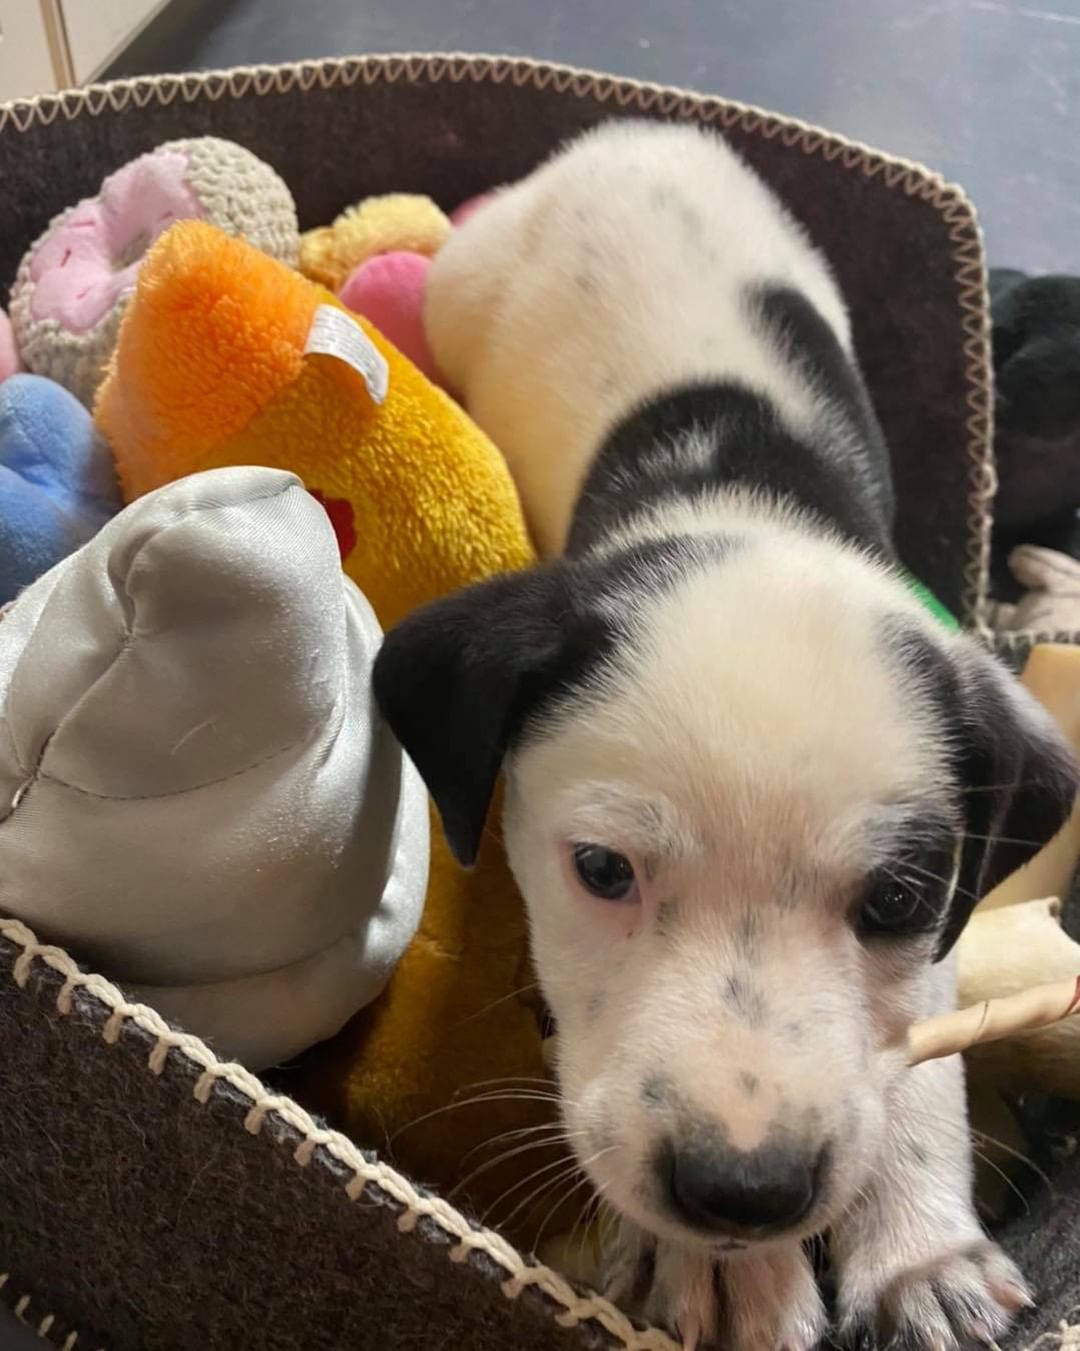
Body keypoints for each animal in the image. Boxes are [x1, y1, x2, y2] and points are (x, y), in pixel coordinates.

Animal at [373, 121, 1080, 1345]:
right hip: (466, 287)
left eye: (896, 902)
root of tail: (631, 130)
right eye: (603, 870)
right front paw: (706, 1263)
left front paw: (919, 1250)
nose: (741, 1195)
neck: (743, 500)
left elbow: (917, 1060)